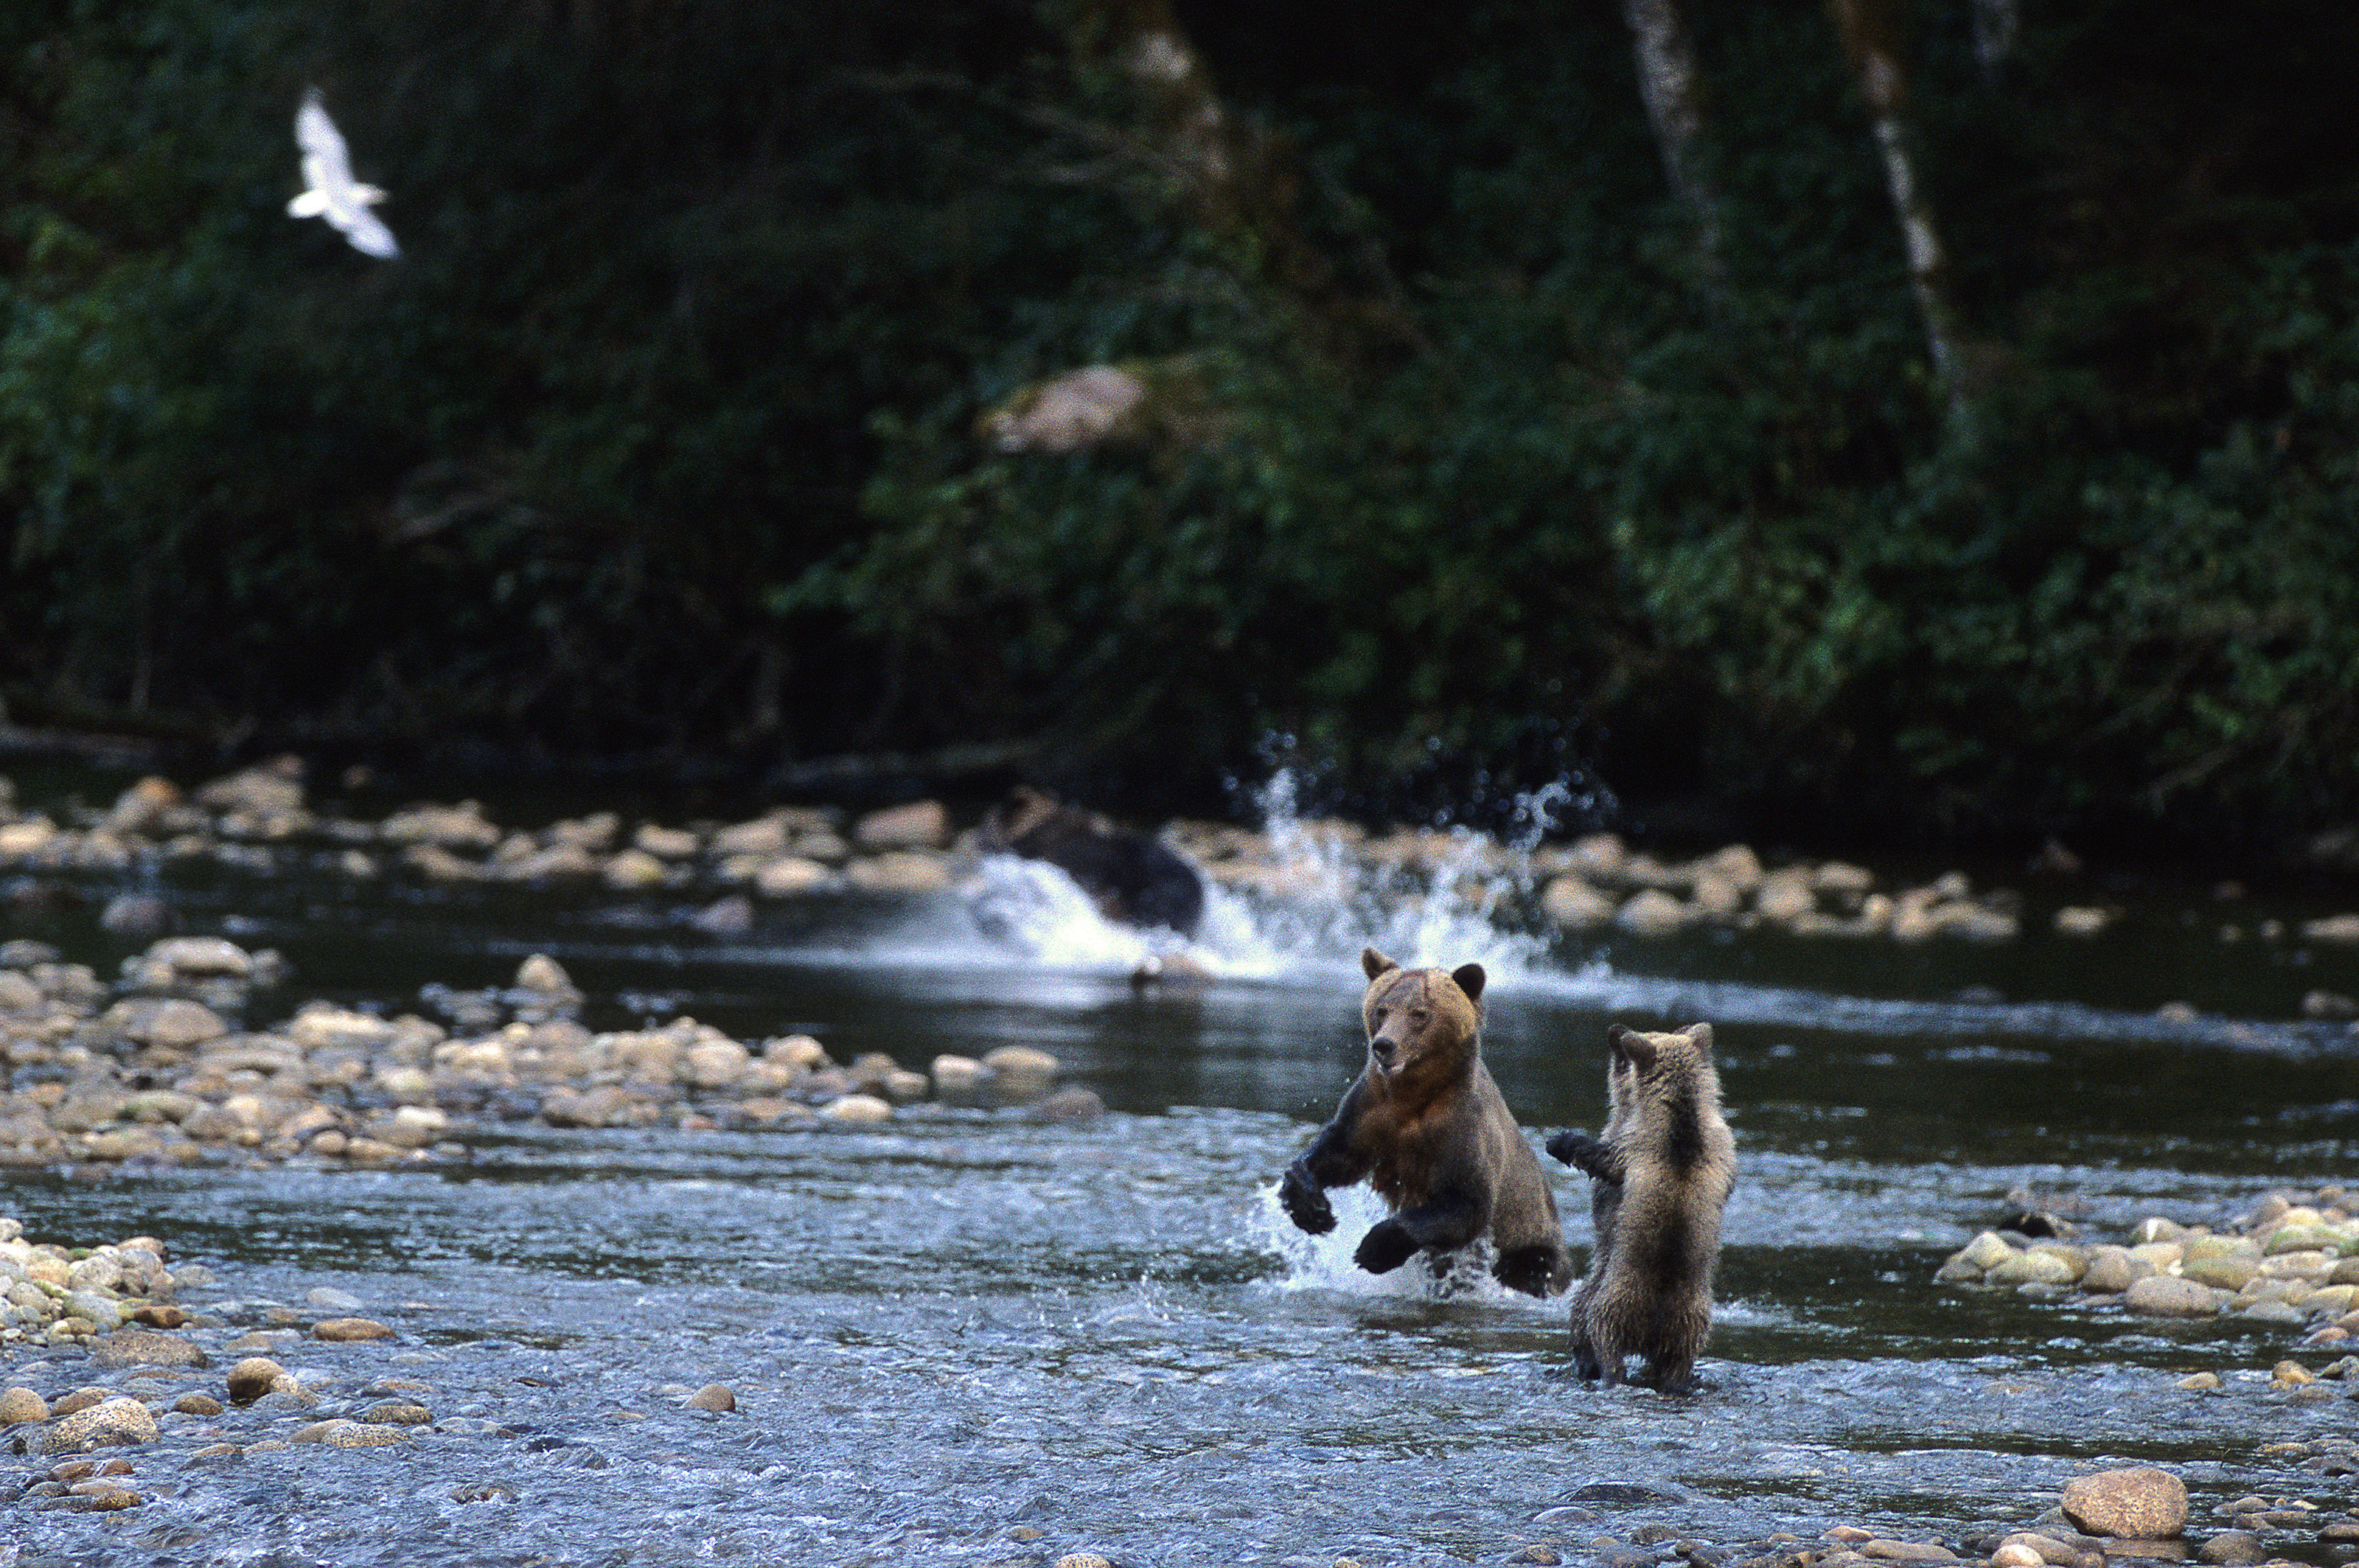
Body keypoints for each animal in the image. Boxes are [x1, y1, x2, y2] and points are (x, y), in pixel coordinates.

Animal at [1278, 947, 1573, 1297]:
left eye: (1419, 1013)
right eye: (1382, 1009)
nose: (1384, 1045)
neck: (1413, 1092)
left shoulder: (1463, 1127)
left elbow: (1467, 1202)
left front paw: (1375, 1248)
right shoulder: (1372, 1109)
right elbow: (1340, 1153)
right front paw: (1313, 1209)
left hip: (1532, 1243)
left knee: (1531, 1269)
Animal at [1546, 1021, 1735, 1393]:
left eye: (1621, 1055)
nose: (1615, 1029)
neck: (1680, 1114)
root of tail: (1652, 1326)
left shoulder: (1630, 1146)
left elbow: (1602, 1160)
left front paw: (1562, 1142)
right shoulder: (1723, 1150)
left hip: (1611, 1298)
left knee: (1593, 1329)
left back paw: (1597, 1370)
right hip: (1691, 1320)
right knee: (1680, 1358)